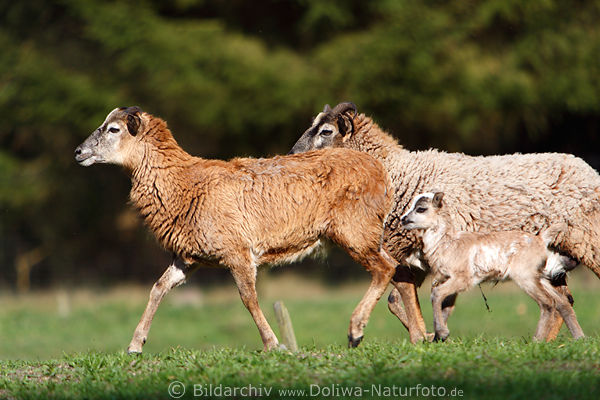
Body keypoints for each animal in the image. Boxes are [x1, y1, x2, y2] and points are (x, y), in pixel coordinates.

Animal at [76, 106, 398, 354]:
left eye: (113, 129)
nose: (78, 152)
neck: (183, 183)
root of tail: (380, 171)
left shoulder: (238, 252)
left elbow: (248, 298)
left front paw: (273, 344)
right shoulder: (186, 257)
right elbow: (158, 288)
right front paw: (135, 346)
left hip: (354, 230)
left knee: (384, 269)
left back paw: (355, 332)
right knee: (392, 267)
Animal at [288, 101, 600, 342]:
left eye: (326, 131)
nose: (292, 155)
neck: (395, 172)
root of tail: (588, 169)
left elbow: (418, 297)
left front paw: (427, 337)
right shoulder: (414, 254)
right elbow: (401, 300)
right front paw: (432, 336)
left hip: (587, 238)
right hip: (553, 256)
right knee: (563, 300)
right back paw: (557, 341)